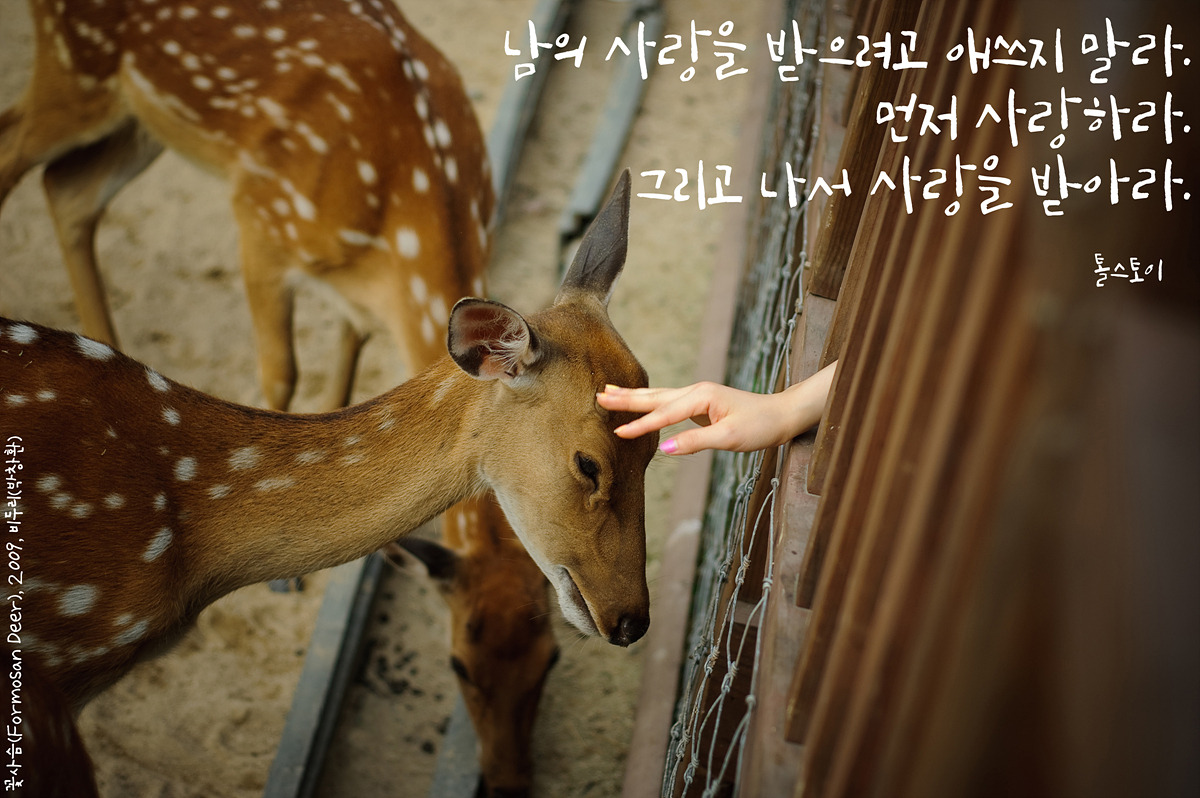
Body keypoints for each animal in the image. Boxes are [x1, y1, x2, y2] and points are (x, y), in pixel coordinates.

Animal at [0, 1, 563, 792]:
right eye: (458, 664)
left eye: (552, 660)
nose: (511, 781)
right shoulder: (260, 220)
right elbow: (282, 374)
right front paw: (285, 583)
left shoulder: (354, 292)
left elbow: (348, 357)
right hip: (73, 71)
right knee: (15, 150)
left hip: (133, 119)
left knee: (67, 188)